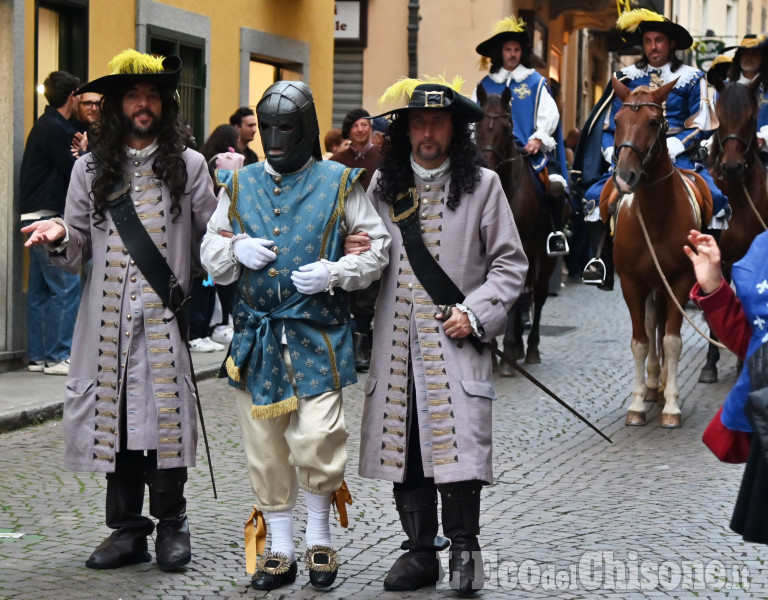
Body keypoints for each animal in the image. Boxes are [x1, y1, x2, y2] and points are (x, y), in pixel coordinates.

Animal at [474, 83, 552, 366]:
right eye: (476, 124)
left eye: (507, 125)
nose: (484, 164)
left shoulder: (522, 249)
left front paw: (505, 349)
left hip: (544, 255)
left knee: (538, 294)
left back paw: (530, 349)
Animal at [604, 77, 712, 428]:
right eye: (617, 121)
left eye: (653, 122)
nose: (625, 177)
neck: (656, 216)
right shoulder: (632, 284)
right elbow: (640, 341)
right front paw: (637, 403)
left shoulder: (679, 281)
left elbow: (672, 340)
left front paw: (672, 406)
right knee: (652, 323)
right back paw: (653, 385)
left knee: (662, 327)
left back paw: (662, 386)